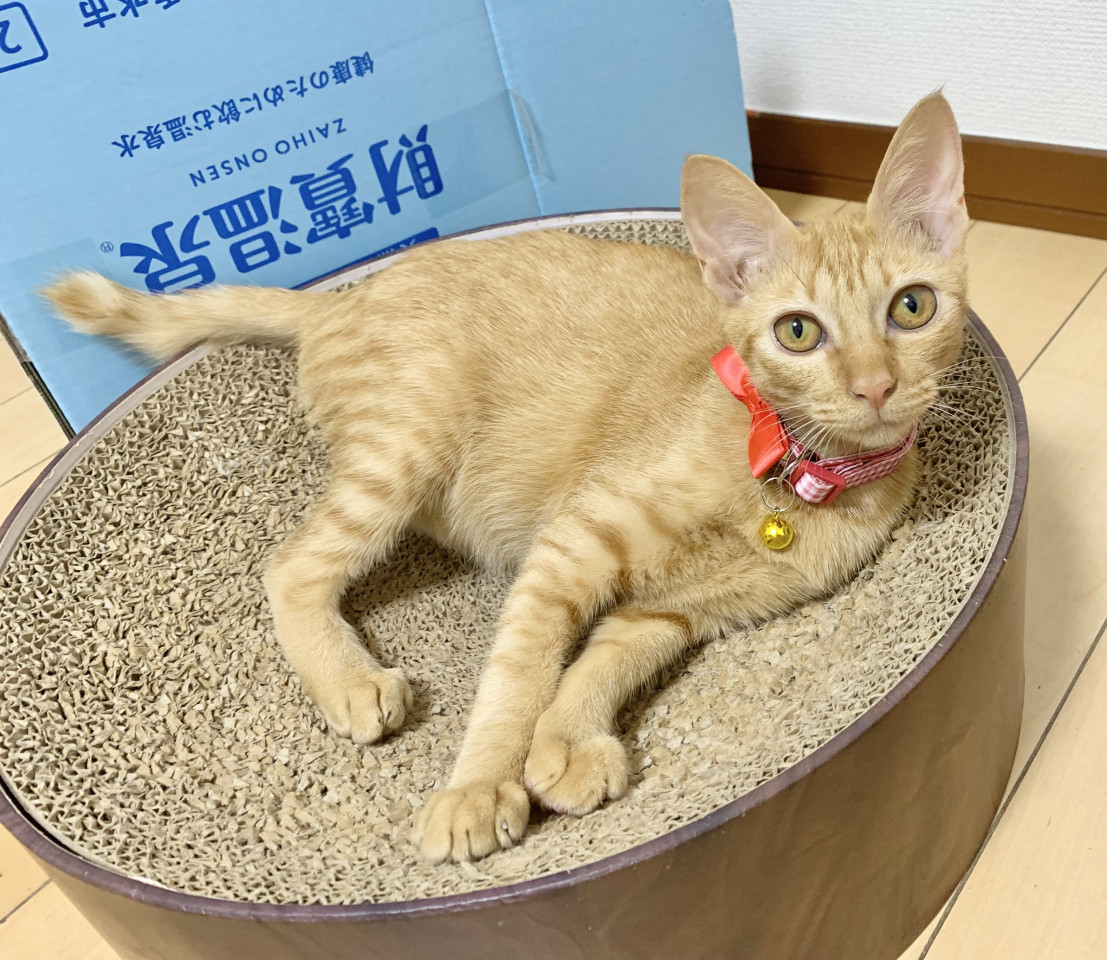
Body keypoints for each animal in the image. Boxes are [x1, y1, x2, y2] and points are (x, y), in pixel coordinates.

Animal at [44, 91, 968, 864]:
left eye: (911, 308)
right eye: (797, 331)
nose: (874, 385)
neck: (795, 477)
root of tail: (337, 298)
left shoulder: (680, 609)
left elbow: (602, 658)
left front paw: (564, 743)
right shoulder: (570, 545)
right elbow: (519, 672)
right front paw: (480, 785)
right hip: (407, 443)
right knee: (291, 565)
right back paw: (349, 682)